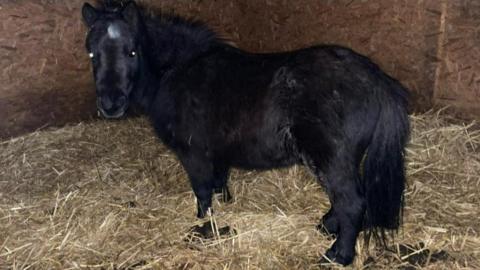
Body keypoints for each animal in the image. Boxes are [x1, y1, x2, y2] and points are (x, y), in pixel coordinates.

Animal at [81, 0, 408, 266]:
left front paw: (202, 224)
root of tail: (375, 79)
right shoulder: (217, 152)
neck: (178, 72)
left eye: (131, 51)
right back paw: (328, 226)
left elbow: (202, 194)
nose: (110, 105)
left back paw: (338, 255)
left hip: (331, 159)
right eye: (92, 53)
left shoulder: (193, 154)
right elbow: (219, 183)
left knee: (351, 202)